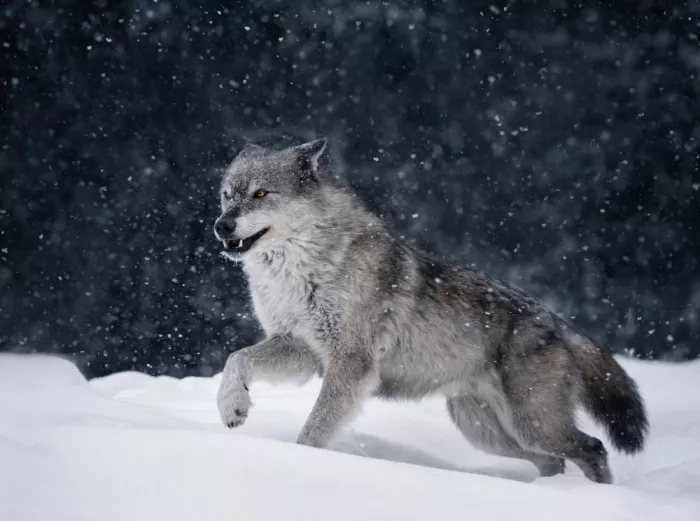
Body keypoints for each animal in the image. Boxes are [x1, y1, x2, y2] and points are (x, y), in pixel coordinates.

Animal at [213, 138, 648, 483]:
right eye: (227, 194)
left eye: (261, 194)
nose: (221, 226)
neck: (299, 272)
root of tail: (559, 322)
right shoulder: (301, 350)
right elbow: (237, 358)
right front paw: (232, 405)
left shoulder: (351, 363)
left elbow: (314, 430)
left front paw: (300, 460)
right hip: (488, 433)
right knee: (553, 462)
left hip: (533, 425)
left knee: (593, 448)